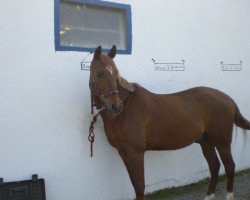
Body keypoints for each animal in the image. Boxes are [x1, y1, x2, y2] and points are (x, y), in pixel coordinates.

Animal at [89, 45, 249, 200]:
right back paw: (209, 196)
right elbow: (135, 183)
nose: (115, 106)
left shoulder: (136, 152)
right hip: (206, 141)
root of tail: (228, 98)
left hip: (222, 142)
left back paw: (229, 196)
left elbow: (139, 186)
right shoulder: (123, 152)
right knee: (214, 166)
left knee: (229, 166)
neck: (127, 107)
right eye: (99, 74)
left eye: (115, 73)